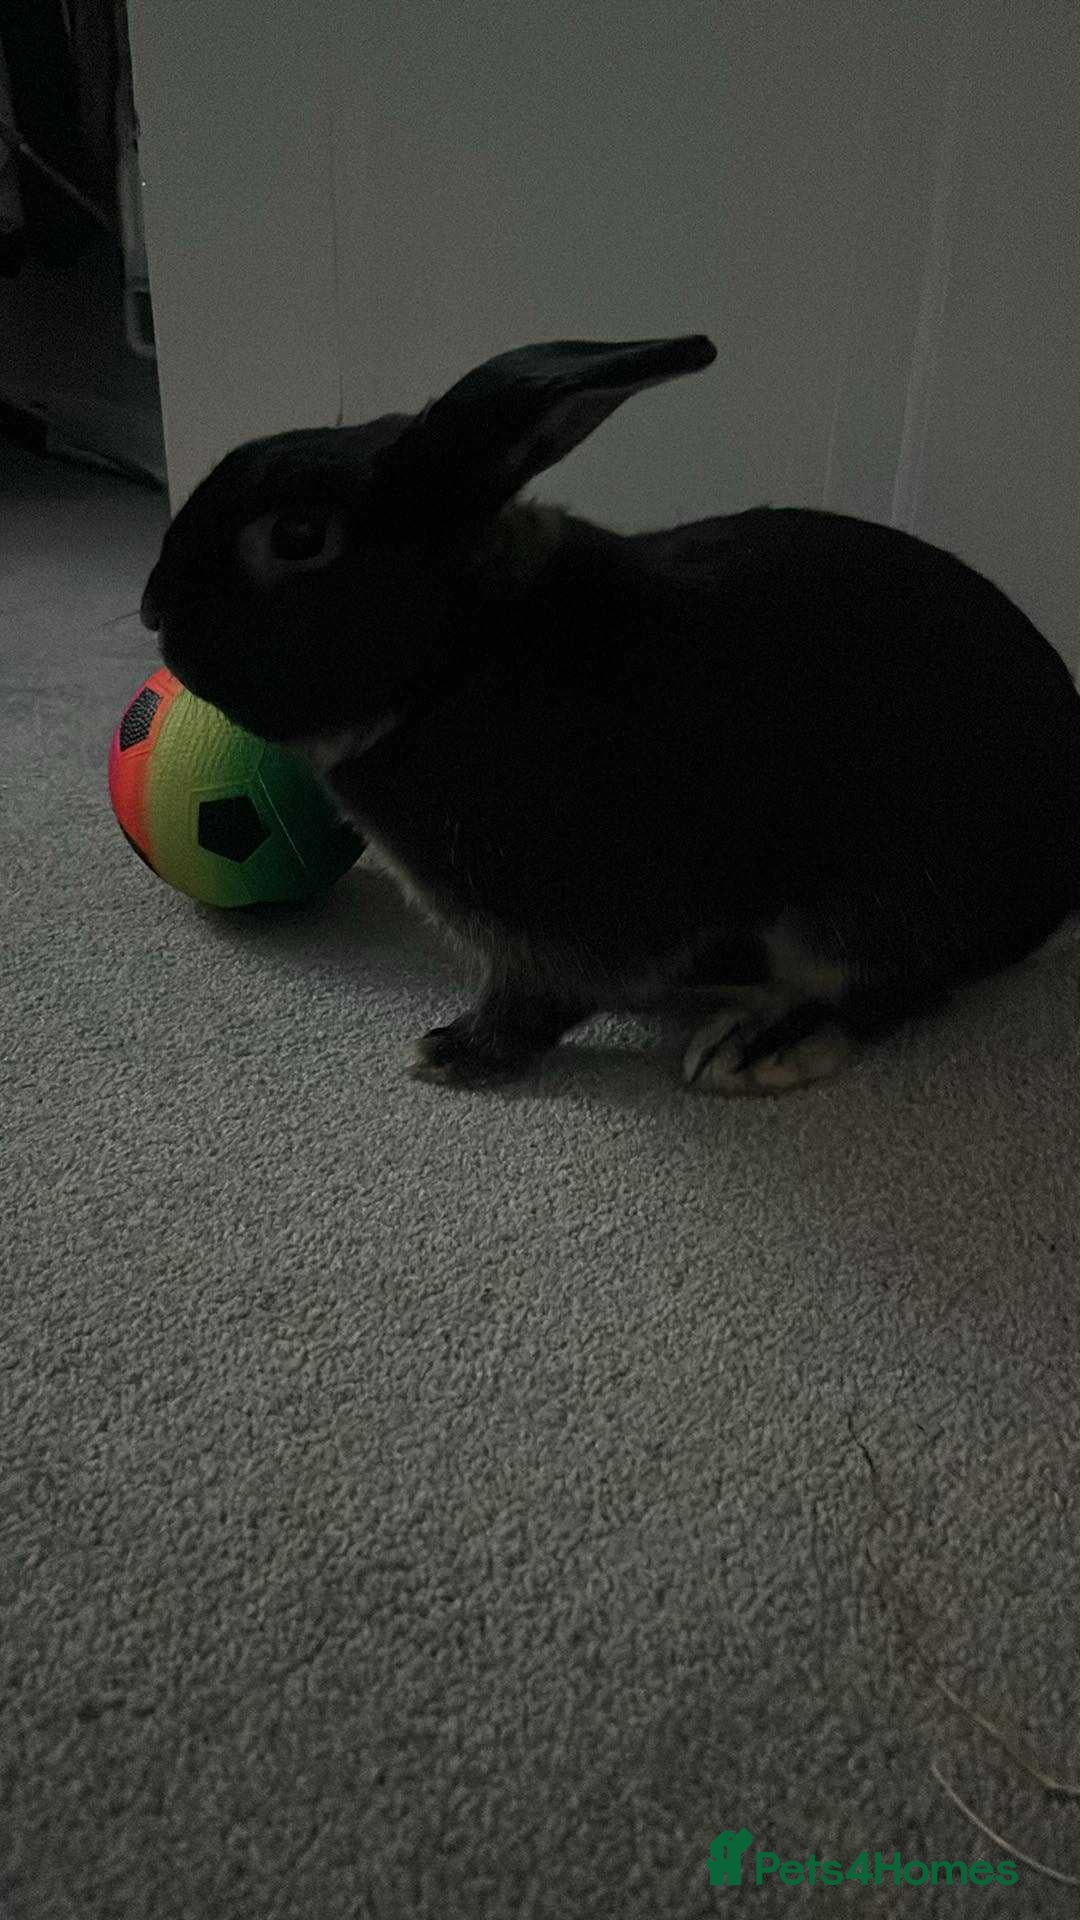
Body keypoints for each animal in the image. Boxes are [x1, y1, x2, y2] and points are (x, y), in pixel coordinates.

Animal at [141, 334, 1080, 1094]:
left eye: (299, 535)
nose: (153, 611)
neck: (461, 657)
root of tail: (1051, 896)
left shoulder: (563, 926)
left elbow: (541, 998)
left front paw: (454, 1054)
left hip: (867, 901)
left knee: (897, 988)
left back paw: (759, 1044)